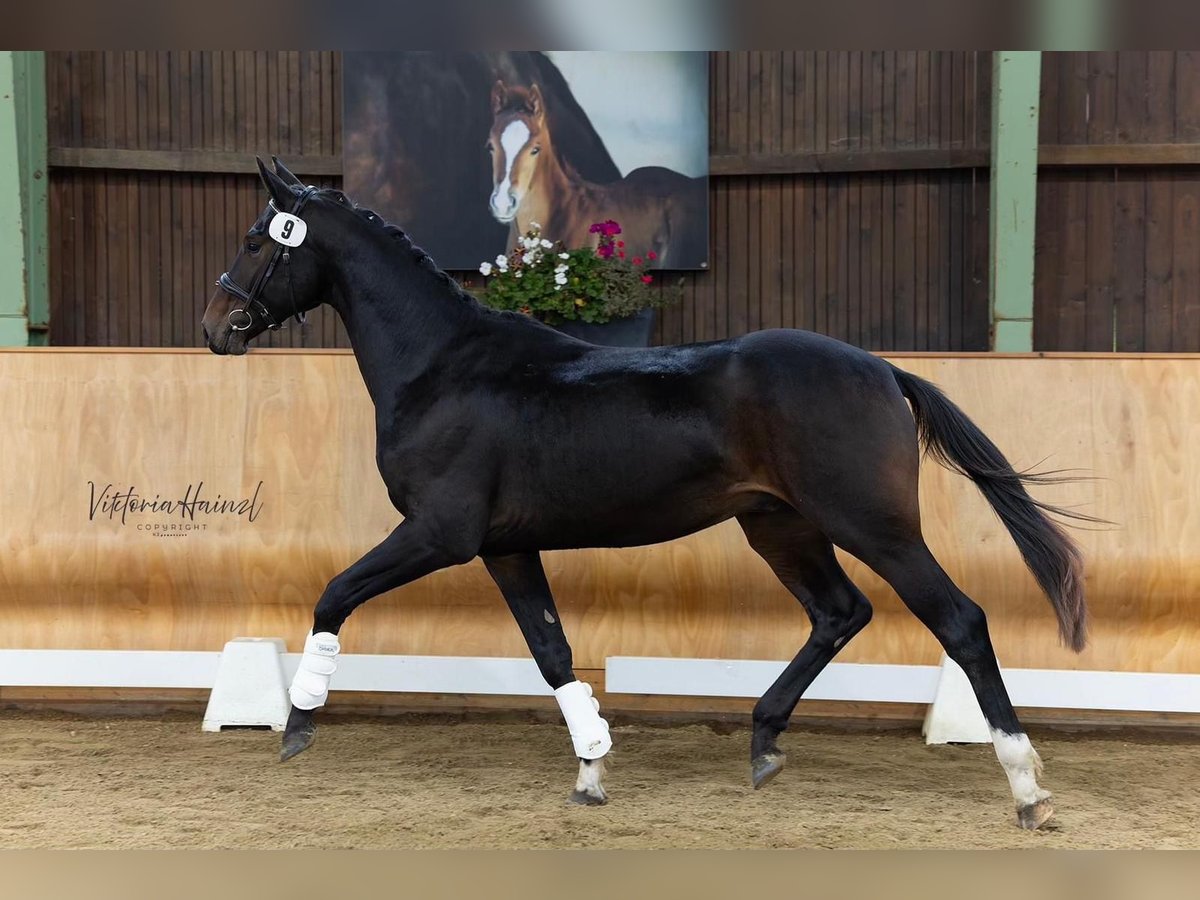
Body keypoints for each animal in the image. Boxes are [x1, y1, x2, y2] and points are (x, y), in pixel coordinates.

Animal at [201, 157, 1094, 830]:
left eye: (254, 240)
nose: (215, 327)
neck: (444, 365)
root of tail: (882, 370)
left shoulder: (439, 534)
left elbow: (334, 593)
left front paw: (300, 721)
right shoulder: (505, 546)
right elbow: (553, 652)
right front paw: (592, 770)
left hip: (874, 527)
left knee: (960, 622)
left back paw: (1027, 788)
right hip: (781, 526)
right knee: (839, 613)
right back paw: (764, 741)